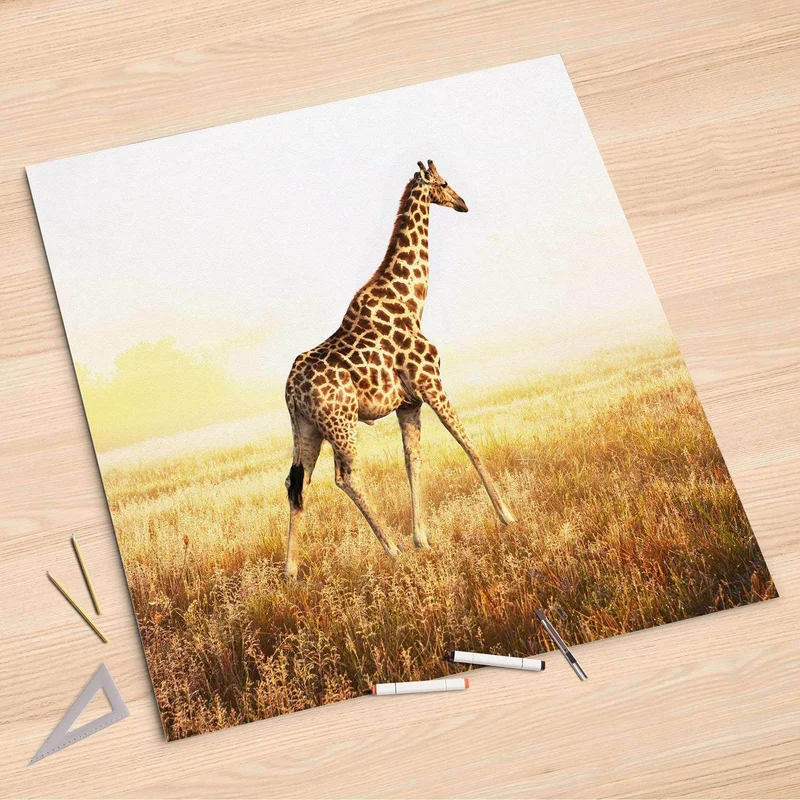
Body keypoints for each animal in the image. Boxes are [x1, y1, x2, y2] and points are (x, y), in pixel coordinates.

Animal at [283, 159, 515, 578]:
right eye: (444, 182)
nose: (463, 204)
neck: (411, 299)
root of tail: (290, 390)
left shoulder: (409, 403)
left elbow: (413, 461)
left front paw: (423, 539)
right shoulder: (431, 382)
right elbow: (467, 443)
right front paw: (507, 515)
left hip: (307, 428)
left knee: (298, 483)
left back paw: (290, 572)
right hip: (340, 422)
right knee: (346, 476)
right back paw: (391, 549)